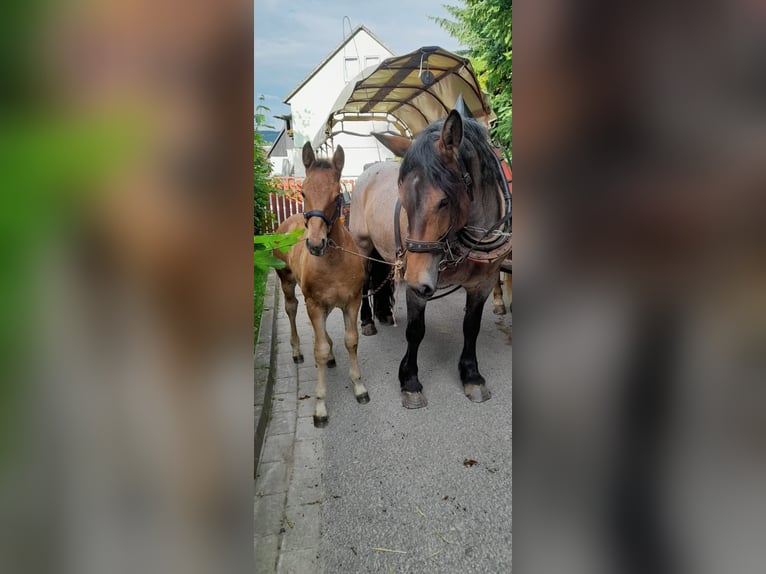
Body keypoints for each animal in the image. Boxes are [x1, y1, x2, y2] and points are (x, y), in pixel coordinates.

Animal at [274, 143, 369, 427]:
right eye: (303, 191)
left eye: (337, 195)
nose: (315, 244)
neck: (333, 261)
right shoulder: (314, 304)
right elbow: (318, 350)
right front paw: (320, 406)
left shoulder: (352, 301)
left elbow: (351, 341)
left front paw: (359, 387)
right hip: (287, 282)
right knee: (291, 310)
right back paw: (296, 351)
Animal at [350, 109, 512, 408]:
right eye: (402, 198)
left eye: (444, 201)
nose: (416, 280)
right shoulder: (417, 282)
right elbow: (416, 330)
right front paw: (410, 381)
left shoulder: (482, 283)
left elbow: (471, 327)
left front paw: (471, 376)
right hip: (363, 246)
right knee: (366, 281)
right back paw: (367, 321)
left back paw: (384, 313)